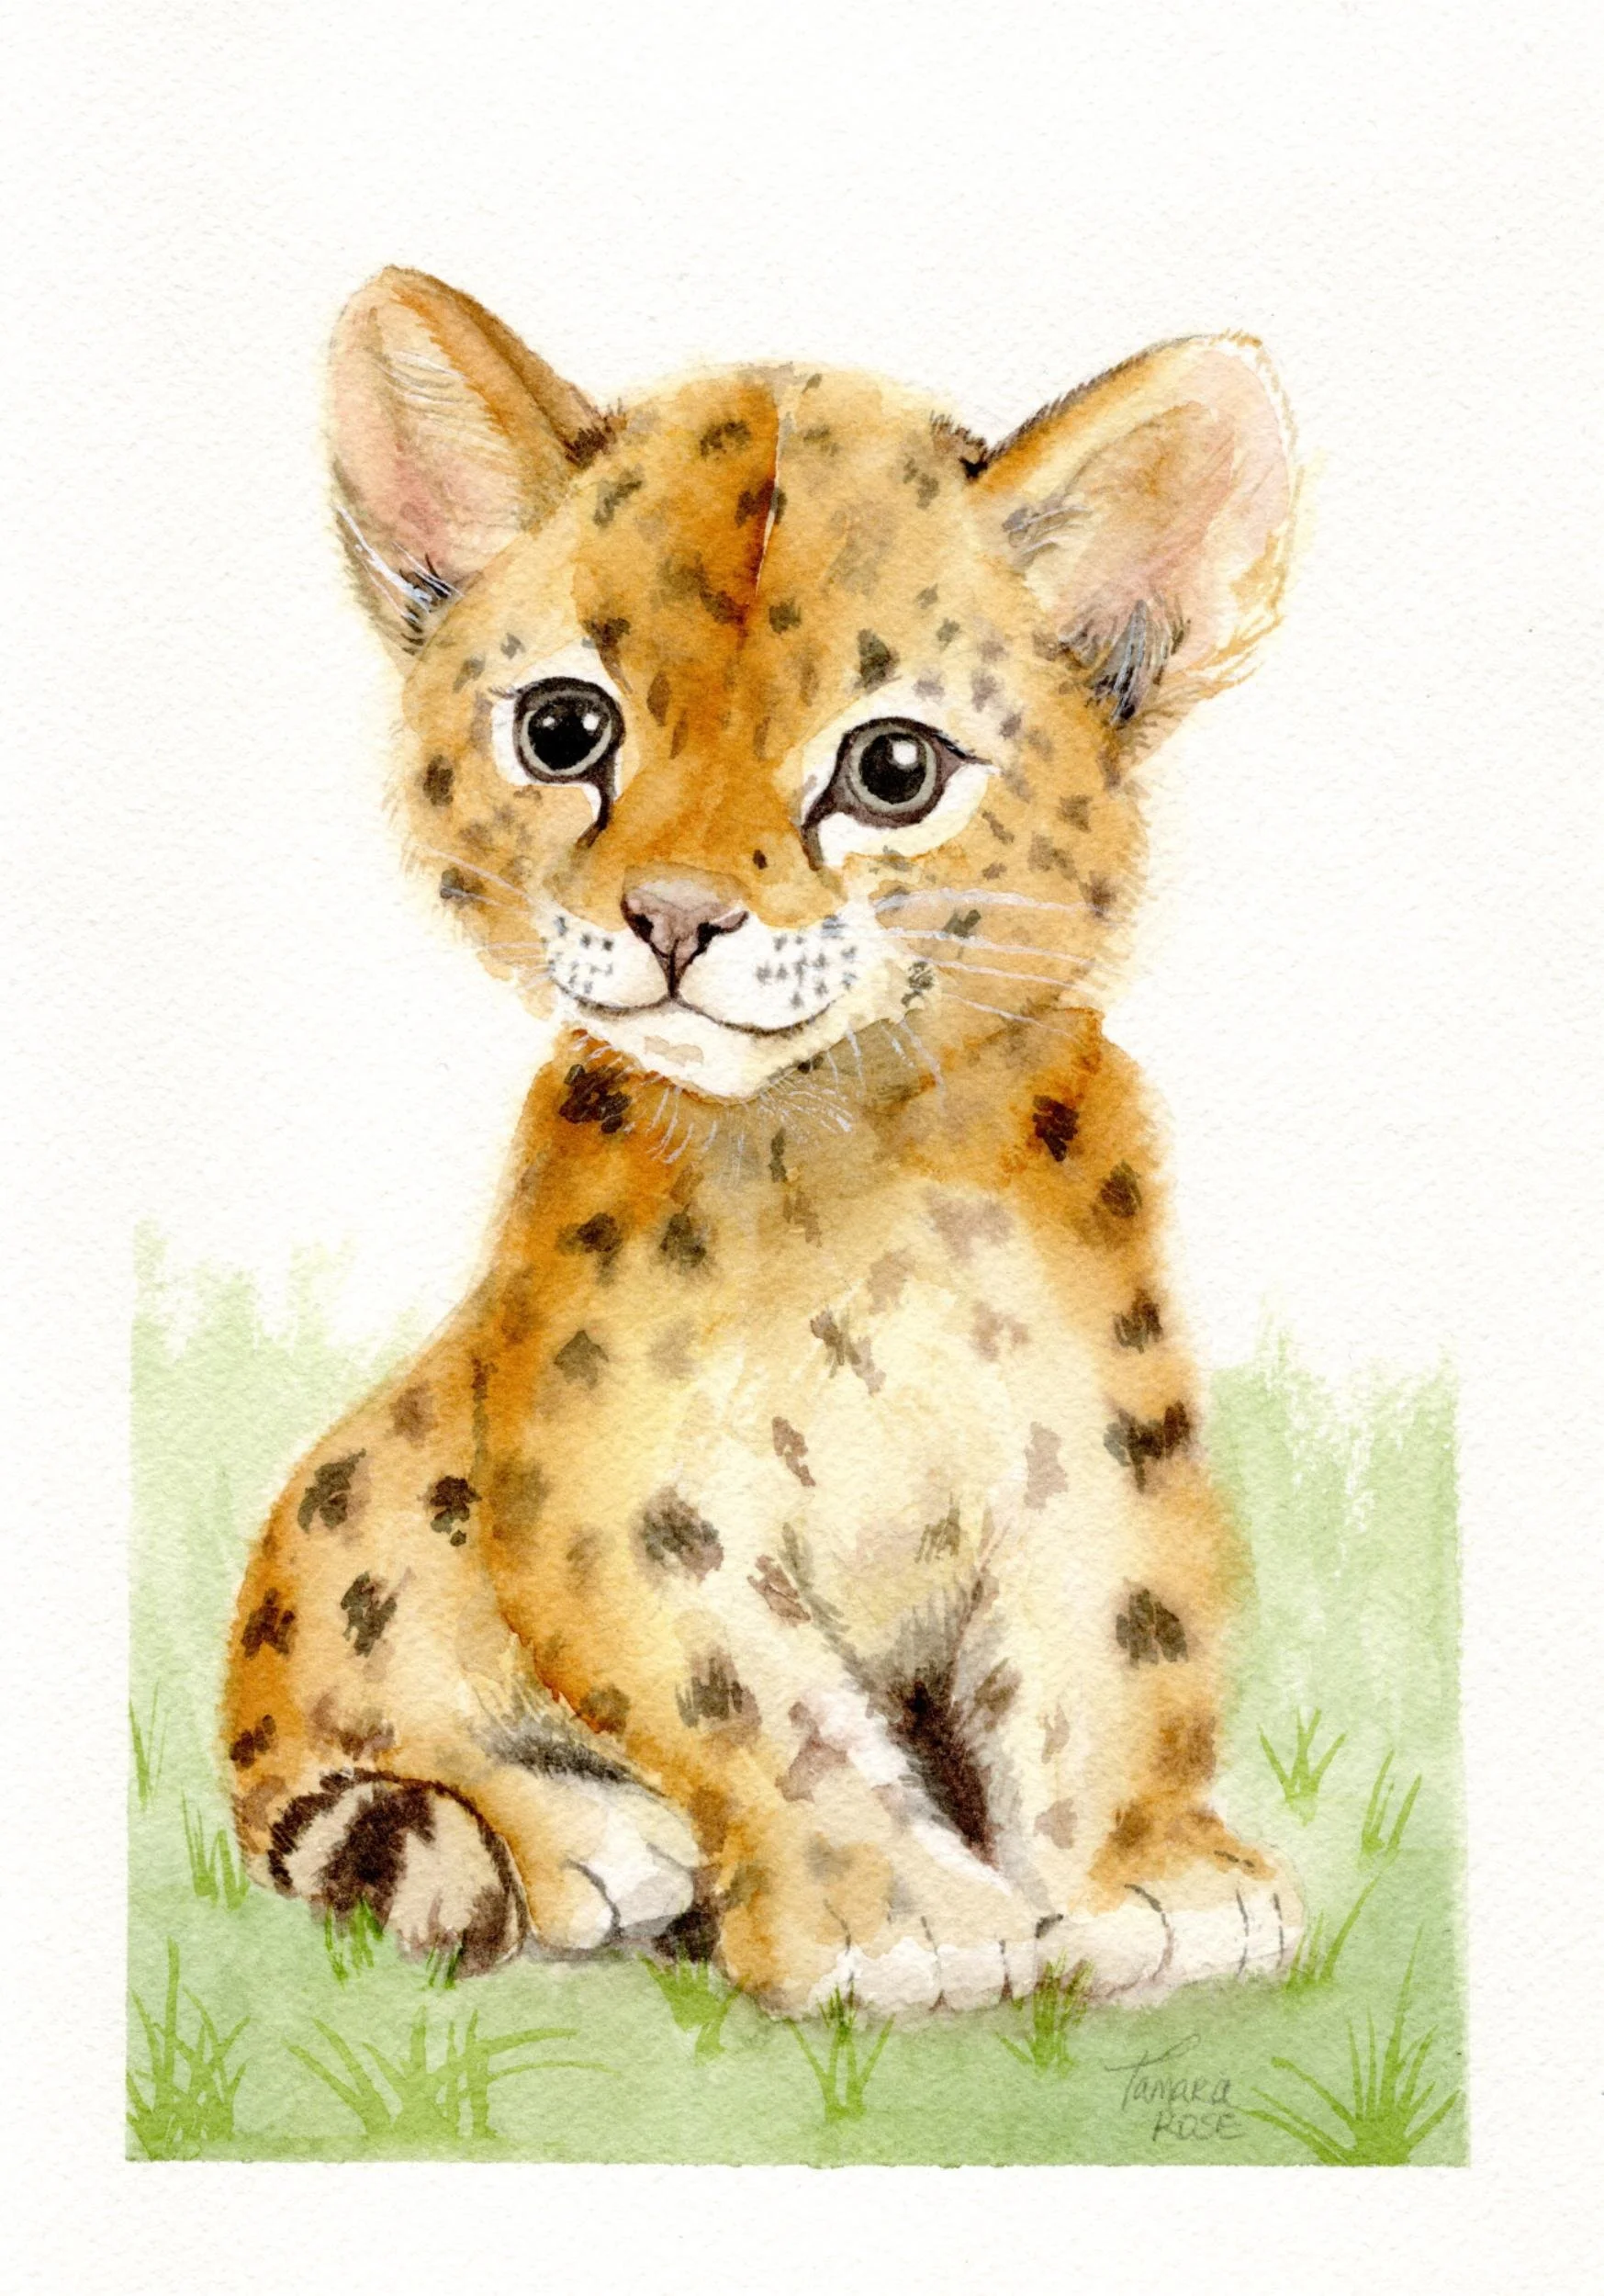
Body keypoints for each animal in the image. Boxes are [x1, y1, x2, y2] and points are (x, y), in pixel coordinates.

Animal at [223, 267, 1302, 2016]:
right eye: (564, 729)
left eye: (891, 767)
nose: (671, 919)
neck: (843, 1157)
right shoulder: (611, 1492)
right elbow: (755, 1696)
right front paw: (894, 1914)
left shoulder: (1090, 1455)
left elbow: (1116, 1649)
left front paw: (1146, 1874)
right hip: (364, 1527)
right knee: (311, 1735)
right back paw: (588, 1838)